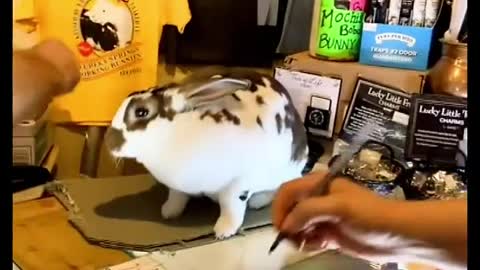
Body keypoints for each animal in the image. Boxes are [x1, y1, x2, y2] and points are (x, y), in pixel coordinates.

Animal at [104, 68, 308, 239]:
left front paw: (223, 231)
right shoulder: (177, 187)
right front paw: (169, 212)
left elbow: (231, 206)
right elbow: (176, 197)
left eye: (141, 112)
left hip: (286, 171)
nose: (109, 142)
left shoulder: (239, 185)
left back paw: (257, 201)